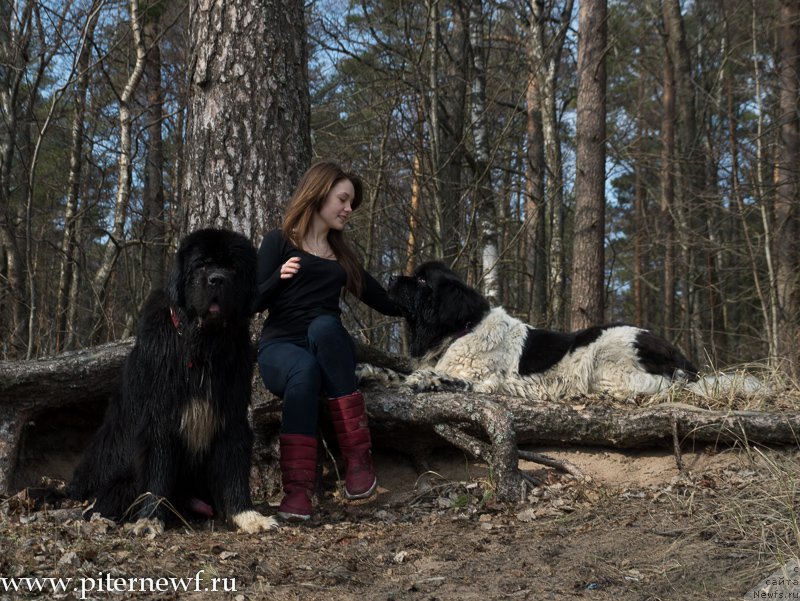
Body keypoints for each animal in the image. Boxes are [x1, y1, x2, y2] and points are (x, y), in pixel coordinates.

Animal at [69, 229, 282, 536]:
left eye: (233, 268)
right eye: (201, 264)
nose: (217, 279)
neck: (202, 349)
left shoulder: (231, 413)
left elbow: (234, 466)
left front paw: (247, 515)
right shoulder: (159, 418)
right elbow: (158, 473)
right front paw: (149, 519)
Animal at [358, 258, 764, 396]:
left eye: (421, 281)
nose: (390, 276)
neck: (463, 329)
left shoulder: (489, 381)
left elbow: (446, 378)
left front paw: (423, 381)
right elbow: (390, 371)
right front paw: (366, 370)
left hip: (607, 353)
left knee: (663, 386)